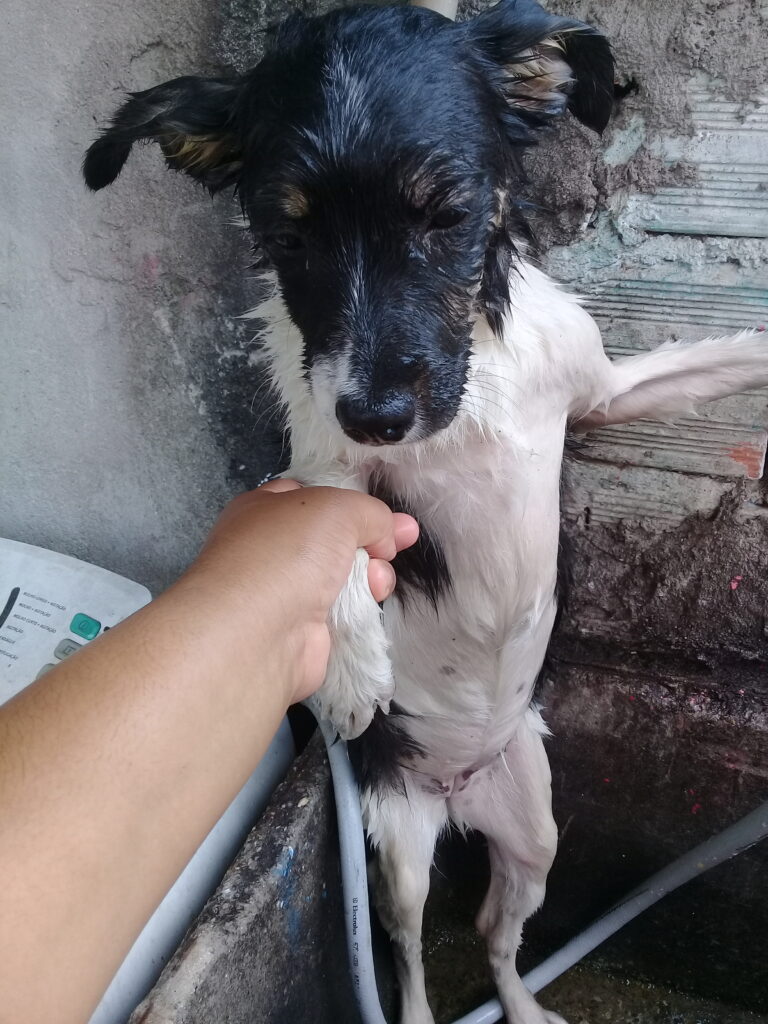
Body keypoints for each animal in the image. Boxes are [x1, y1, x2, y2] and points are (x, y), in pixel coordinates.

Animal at [83, 4, 768, 1019]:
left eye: (446, 214)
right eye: (287, 238)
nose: (376, 416)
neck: (473, 378)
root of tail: (455, 792)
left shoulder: (605, 397)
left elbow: (716, 361)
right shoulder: (316, 456)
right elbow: (323, 518)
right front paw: (353, 666)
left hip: (535, 832)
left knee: (493, 934)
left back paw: (524, 1006)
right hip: (399, 847)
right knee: (407, 950)